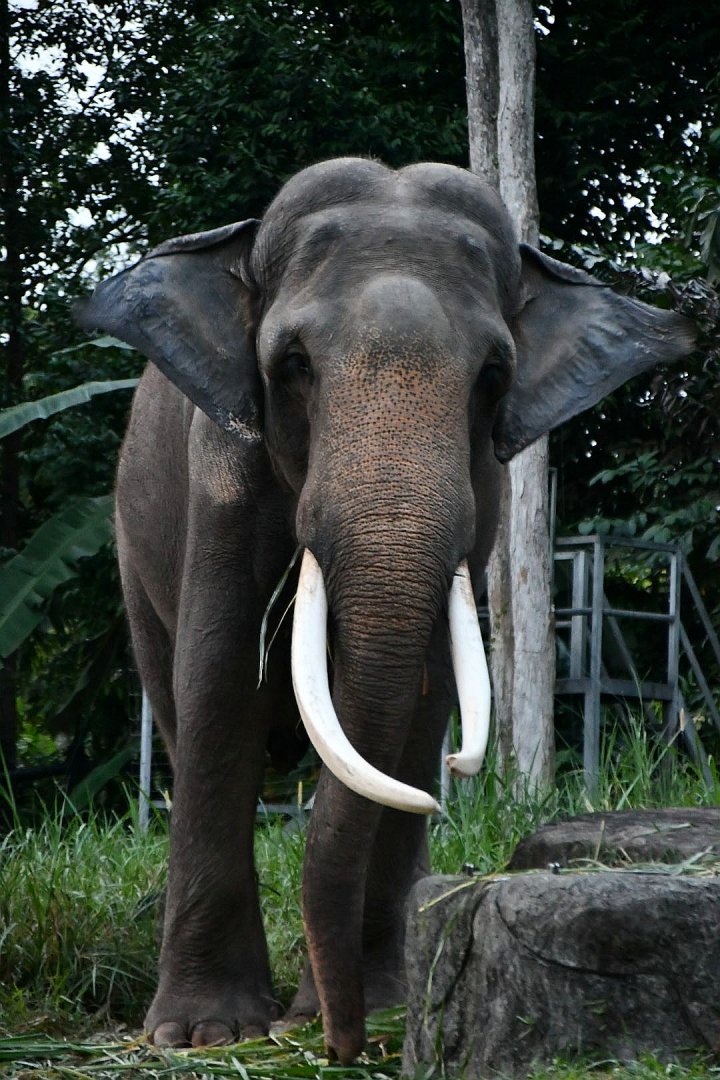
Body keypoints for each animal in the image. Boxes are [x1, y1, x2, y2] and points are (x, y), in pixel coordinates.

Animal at [76, 158, 695, 1063]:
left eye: (494, 375)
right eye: (293, 363)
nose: (339, 1043)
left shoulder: (485, 494)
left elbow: (424, 699)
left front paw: (391, 1003)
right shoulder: (220, 473)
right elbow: (221, 688)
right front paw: (204, 1032)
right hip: (131, 547)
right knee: (180, 710)